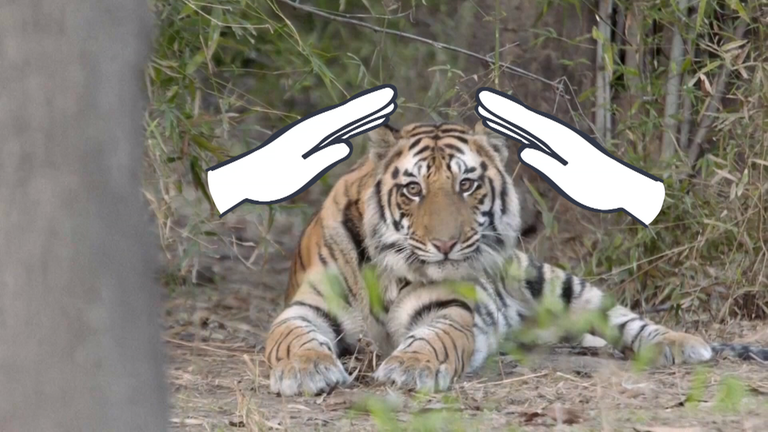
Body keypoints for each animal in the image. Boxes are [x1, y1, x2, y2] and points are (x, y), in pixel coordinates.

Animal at [264, 121, 768, 396]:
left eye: (467, 184)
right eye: (413, 189)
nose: (446, 244)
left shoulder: (448, 310)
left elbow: (431, 340)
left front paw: (411, 368)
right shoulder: (306, 306)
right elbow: (293, 339)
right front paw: (307, 371)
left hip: (554, 283)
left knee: (624, 319)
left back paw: (679, 343)